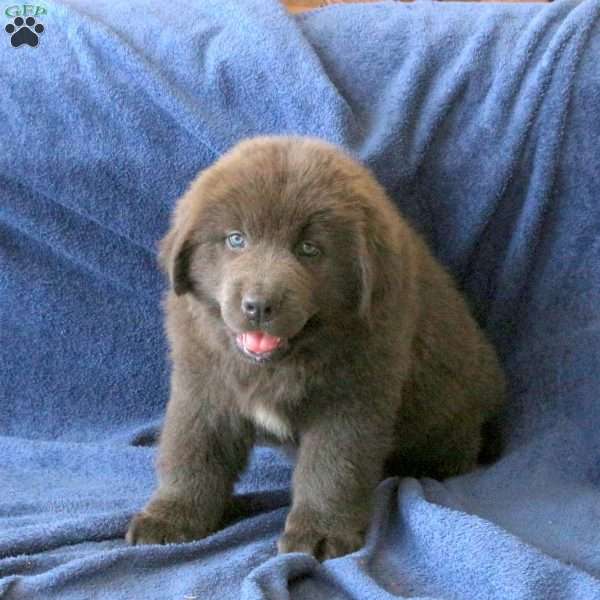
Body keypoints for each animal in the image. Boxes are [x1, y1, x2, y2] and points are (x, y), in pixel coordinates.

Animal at [126, 136, 506, 556]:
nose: (259, 305)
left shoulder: (352, 399)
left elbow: (332, 468)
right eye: (236, 239)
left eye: (309, 249)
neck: (280, 362)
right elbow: (192, 448)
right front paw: (170, 516)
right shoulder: (203, 381)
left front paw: (320, 533)